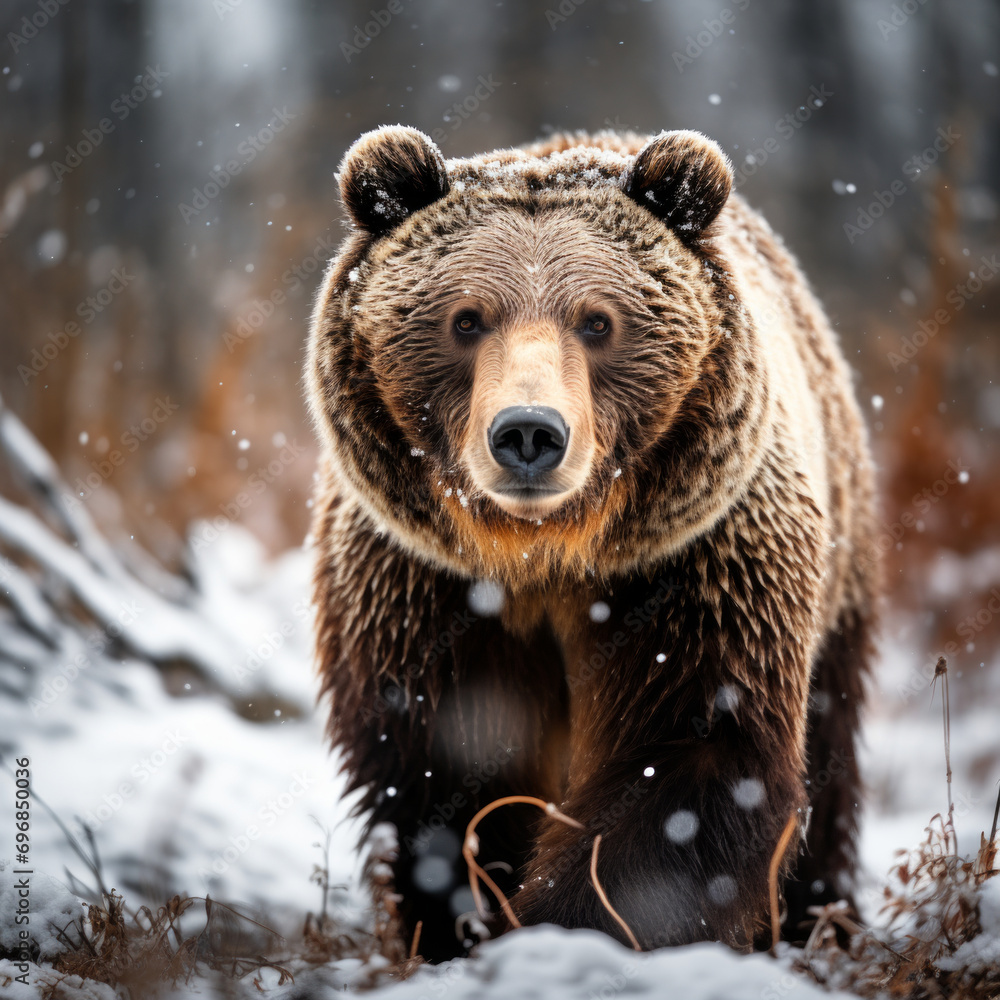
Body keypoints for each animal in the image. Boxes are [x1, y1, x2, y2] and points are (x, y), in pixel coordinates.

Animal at [306, 125, 879, 962]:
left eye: (598, 321)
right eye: (466, 319)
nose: (528, 433)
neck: (544, 555)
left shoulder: (695, 571)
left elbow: (690, 765)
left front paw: (568, 926)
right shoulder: (421, 586)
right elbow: (448, 769)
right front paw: (467, 924)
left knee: (831, 751)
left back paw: (818, 923)